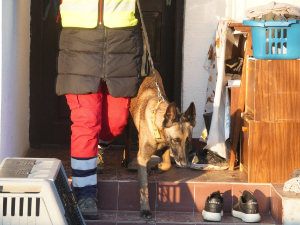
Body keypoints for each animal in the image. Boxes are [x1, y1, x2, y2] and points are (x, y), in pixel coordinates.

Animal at [123, 69, 196, 219]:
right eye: (176, 140)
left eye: (189, 140)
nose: (184, 164)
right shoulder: (142, 156)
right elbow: (143, 187)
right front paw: (145, 209)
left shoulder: (166, 147)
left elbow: (167, 164)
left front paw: (161, 167)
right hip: (127, 121)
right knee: (127, 140)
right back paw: (126, 160)